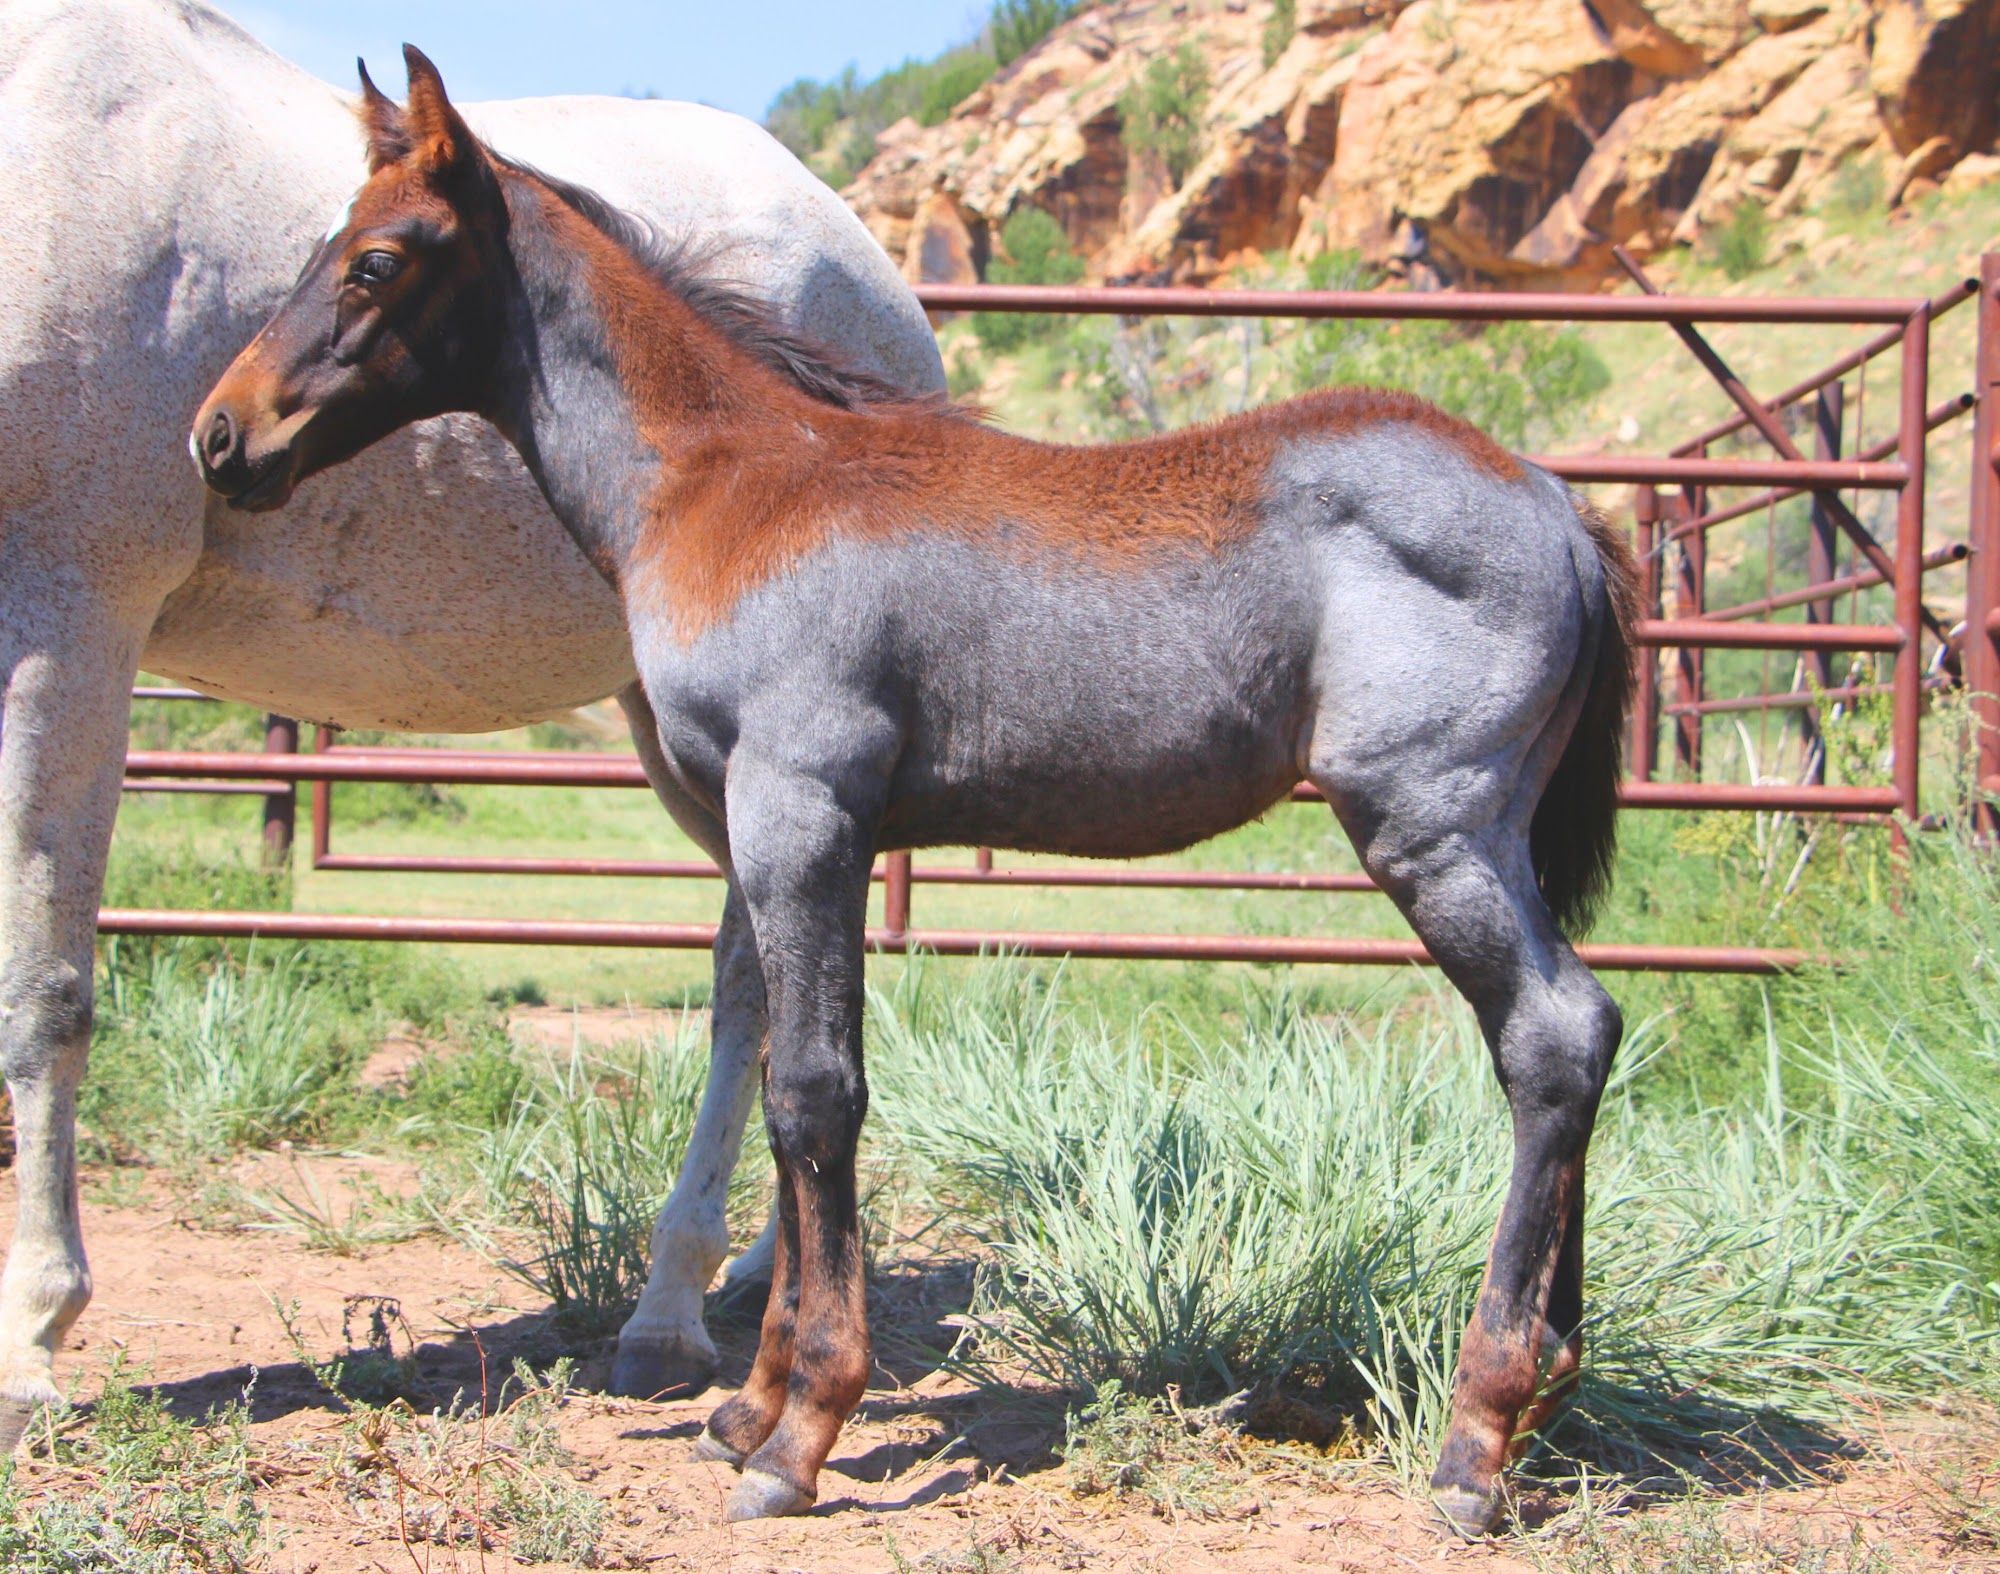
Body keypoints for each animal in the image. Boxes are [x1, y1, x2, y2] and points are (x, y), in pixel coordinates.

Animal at [0, 0, 945, 1452]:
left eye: (377, 262)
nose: (218, 435)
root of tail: (880, 285)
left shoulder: (69, 611)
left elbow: (43, 983)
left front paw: (34, 1340)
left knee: (747, 978)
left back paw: (671, 1306)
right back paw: (745, 1273)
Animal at [194, 47, 1640, 1533]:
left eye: (374, 261)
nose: (221, 436)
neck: (729, 484)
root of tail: (1558, 503)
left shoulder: (801, 810)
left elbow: (813, 1093)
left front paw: (800, 1432)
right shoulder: (767, 836)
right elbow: (783, 1077)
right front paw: (748, 1404)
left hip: (1429, 827)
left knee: (1552, 1036)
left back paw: (1478, 1435)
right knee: (1572, 1040)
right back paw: (1549, 1394)